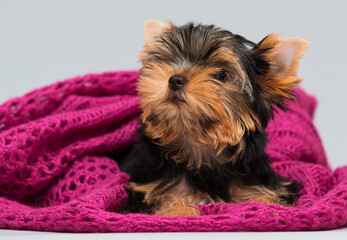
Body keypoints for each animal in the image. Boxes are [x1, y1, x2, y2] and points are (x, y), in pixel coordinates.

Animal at [120, 20, 310, 216]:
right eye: (170, 61)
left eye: (221, 75)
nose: (175, 79)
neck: (200, 146)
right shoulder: (149, 187)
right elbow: (168, 199)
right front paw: (182, 212)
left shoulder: (261, 183)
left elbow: (266, 197)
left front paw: (269, 210)